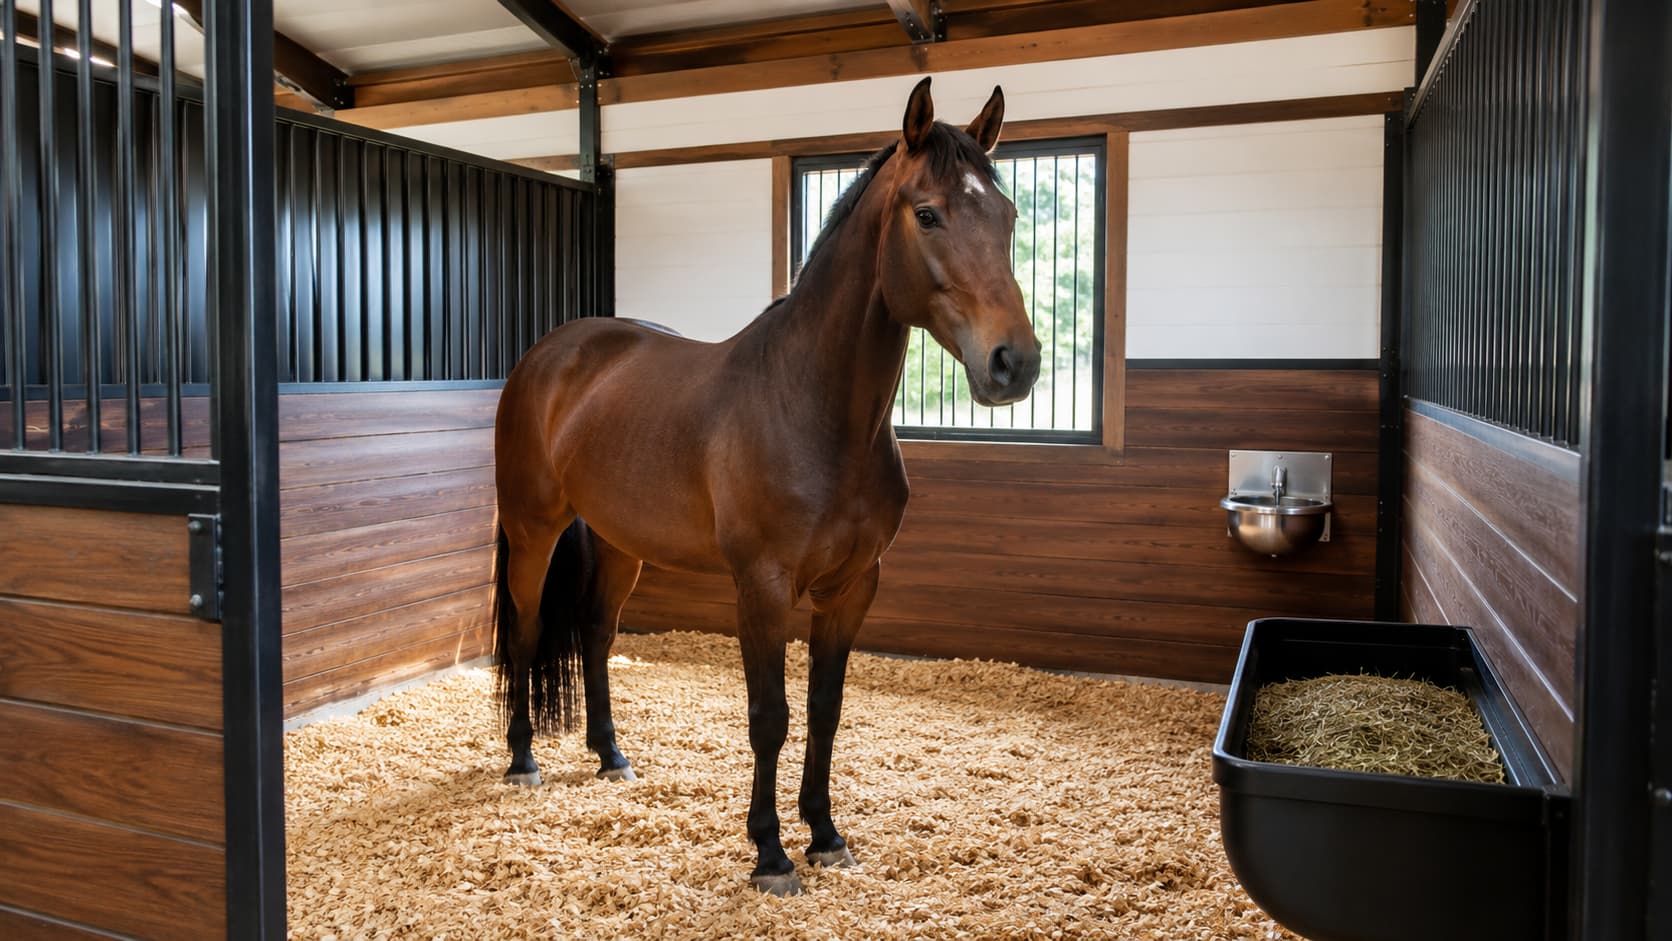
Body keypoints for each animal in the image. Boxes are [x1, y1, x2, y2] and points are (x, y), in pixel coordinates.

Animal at [490, 76, 1040, 896]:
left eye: (1006, 216)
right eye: (928, 212)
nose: (1016, 363)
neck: (811, 408)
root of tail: (550, 354)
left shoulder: (854, 586)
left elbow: (825, 709)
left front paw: (826, 835)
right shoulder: (763, 585)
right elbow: (770, 715)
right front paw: (771, 853)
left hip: (620, 544)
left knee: (593, 633)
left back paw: (611, 754)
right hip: (532, 530)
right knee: (527, 632)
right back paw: (523, 758)